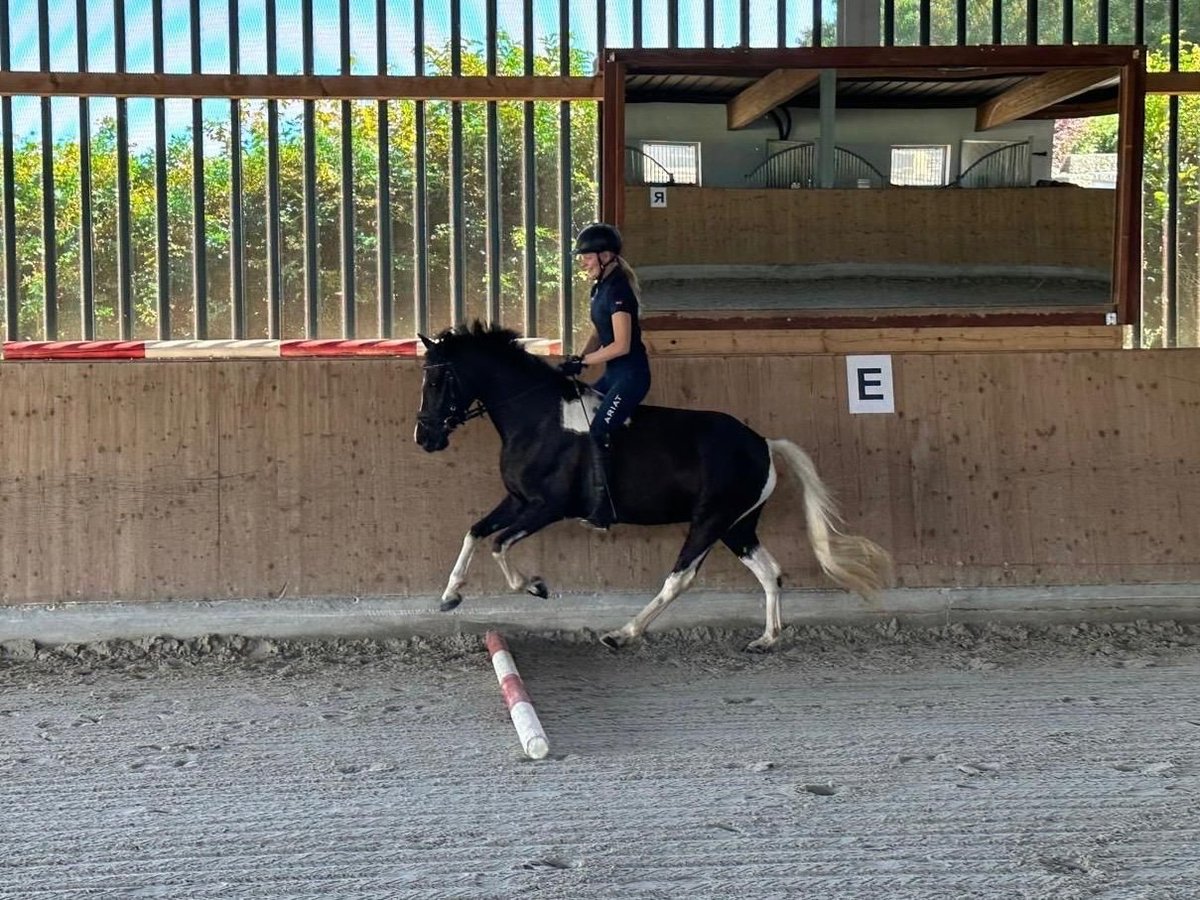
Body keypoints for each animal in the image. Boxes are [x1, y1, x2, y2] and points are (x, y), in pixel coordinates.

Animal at [412, 321, 892, 652]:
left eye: (436, 380)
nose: (425, 437)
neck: (538, 418)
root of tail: (763, 444)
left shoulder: (545, 507)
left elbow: (499, 545)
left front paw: (534, 586)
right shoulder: (518, 500)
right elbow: (475, 531)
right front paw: (450, 595)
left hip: (709, 521)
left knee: (679, 579)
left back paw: (622, 633)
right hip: (737, 526)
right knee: (770, 573)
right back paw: (766, 640)